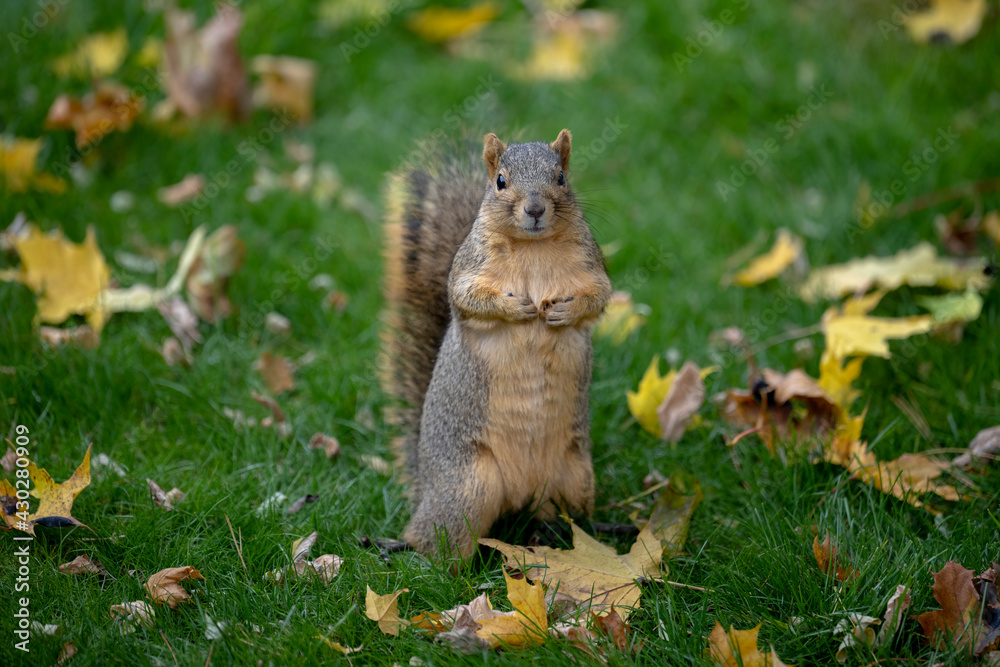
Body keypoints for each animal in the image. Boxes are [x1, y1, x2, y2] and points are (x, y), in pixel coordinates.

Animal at [378, 130, 608, 560]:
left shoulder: (592, 266)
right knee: (436, 544)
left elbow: (598, 298)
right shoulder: (470, 269)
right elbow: (468, 298)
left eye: (561, 178)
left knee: (564, 517)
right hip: (468, 489)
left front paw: (563, 313)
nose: (534, 209)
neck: (534, 247)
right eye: (501, 181)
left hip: (575, 478)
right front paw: (516, 307)